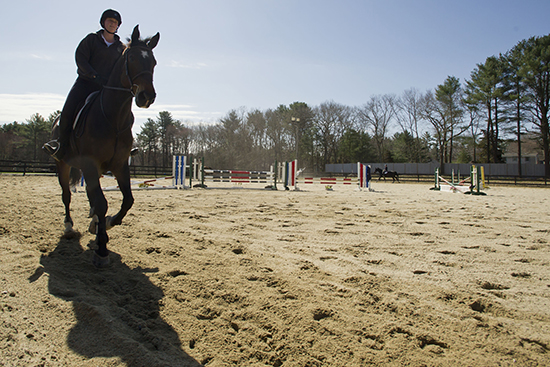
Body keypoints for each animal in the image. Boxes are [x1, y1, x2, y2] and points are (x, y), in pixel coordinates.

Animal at [50, 25, 160, 268]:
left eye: (154, 62)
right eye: (131, 58)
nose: (146, 97)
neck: (112, 117)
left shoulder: (120, 165)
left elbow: (127, 200)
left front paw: (107, 224)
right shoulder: (91, 165)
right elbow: (101, 204)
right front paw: (101, 249)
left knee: (91, 196)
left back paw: (95, 223)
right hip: (63, 165)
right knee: (67, 195)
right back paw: (69, 227)